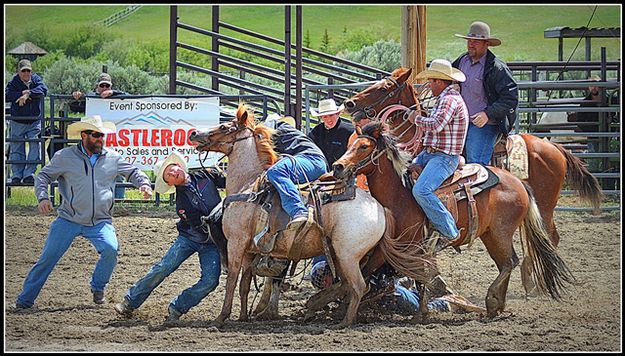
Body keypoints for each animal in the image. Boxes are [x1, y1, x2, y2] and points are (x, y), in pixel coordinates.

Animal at [189, 103, 428, 328]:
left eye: (223, 127)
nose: (194, 134)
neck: (248, 184)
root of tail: (380, 209)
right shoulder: (249, 249)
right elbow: (244, 284)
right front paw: (243, 317)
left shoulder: (236, 243)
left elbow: (232, 280)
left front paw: (221, 318)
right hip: (343, 256)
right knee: (350, 285)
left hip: (347, 254)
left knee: (360, 286)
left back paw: (344, 321)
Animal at [332, 122, 576, 318]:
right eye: (350, 144)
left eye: (364, 146)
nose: (337, 167)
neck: (400, 193)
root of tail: (519, 183)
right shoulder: (391, 246)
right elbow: (369, 271)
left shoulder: (414, 245)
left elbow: (421, 276)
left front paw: (421, 313)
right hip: (490, 234)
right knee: (505, 263)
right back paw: (498, 305)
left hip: (501, 232)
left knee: (510, 262)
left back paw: (492, 301)